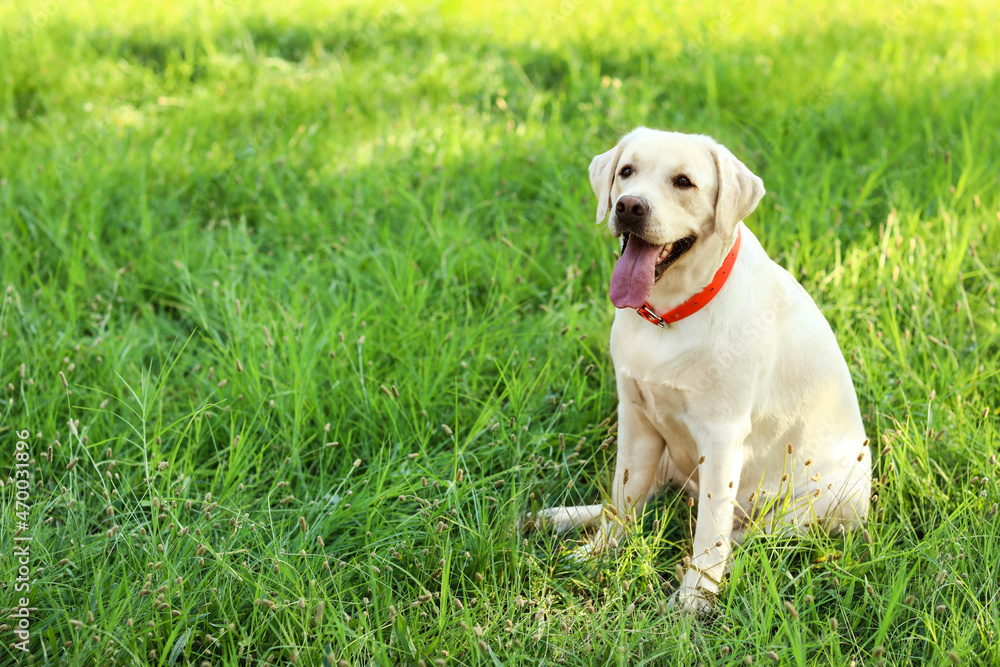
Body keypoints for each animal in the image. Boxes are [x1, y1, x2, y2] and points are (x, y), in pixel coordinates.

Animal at [536, 128, 872, 612]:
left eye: (684, 182)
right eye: (626, 172)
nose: (629, 206)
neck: (668, 314)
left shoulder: (721, 436)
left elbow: (711, 527)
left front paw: (695, 597)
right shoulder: (635, 417)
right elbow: (624, 494)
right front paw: (600, 552)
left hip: (810, 504)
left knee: (745, 535)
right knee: (640, 497)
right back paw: (557, 518)